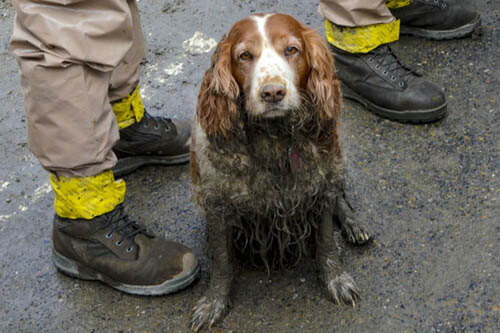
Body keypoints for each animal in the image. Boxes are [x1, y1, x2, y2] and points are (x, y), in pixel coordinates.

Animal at [189, 12, 370, 330]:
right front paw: (214, 303)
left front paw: (336, 280)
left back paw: (353, 224)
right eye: (244, 56)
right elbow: (222, 262)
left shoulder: (321, 184)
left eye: (292, 50)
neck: (273, 139)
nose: (273, 92)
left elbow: (326, 242)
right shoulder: (217, 202)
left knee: (341, 198)